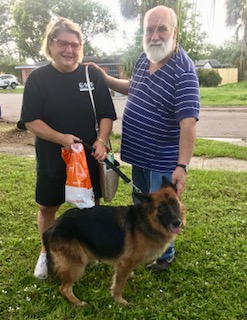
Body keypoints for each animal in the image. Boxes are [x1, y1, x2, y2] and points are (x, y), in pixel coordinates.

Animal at [43, 176, 185, 306]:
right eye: (162, 208)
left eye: (174, 203)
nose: (177, 222)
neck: (146, 221)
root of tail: (52, 227)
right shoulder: (125, 263)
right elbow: (119, 285)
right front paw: (119, 301)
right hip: (77, 265)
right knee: (64, 288)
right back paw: (78, 303)